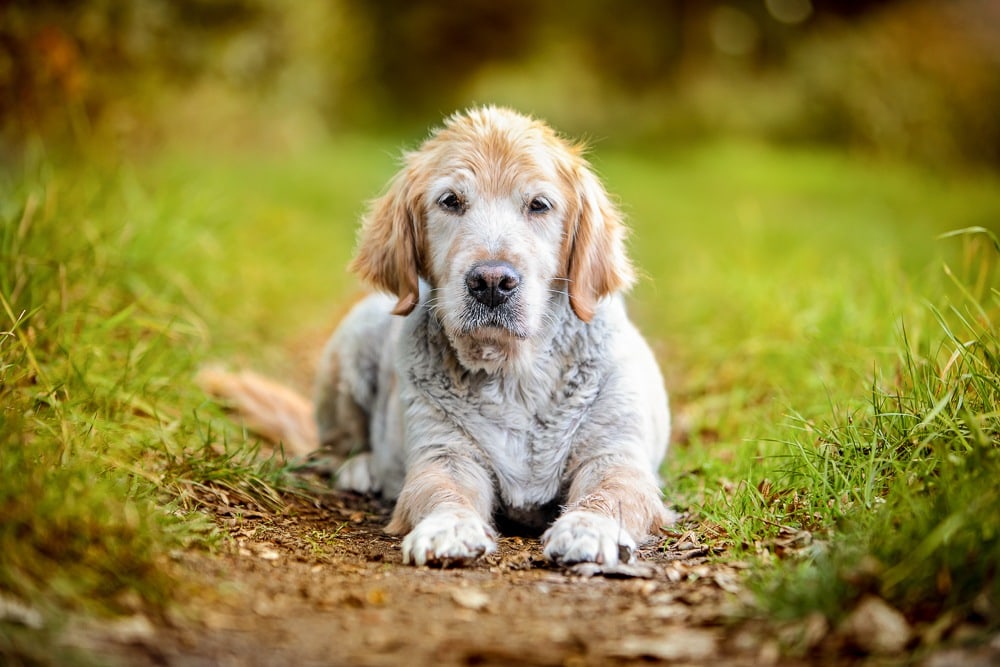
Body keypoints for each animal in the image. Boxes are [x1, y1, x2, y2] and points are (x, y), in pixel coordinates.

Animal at [199, 107, 672, 568]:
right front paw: (450, 528)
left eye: (539, 205)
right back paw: (362, 469)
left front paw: (588, 529)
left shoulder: (614, 454)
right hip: (352, 342)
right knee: (335, 445)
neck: (514, 374)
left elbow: (610, 493)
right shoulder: (443, 452)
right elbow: (442, 490)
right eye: (451, 201)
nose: (492, 282)